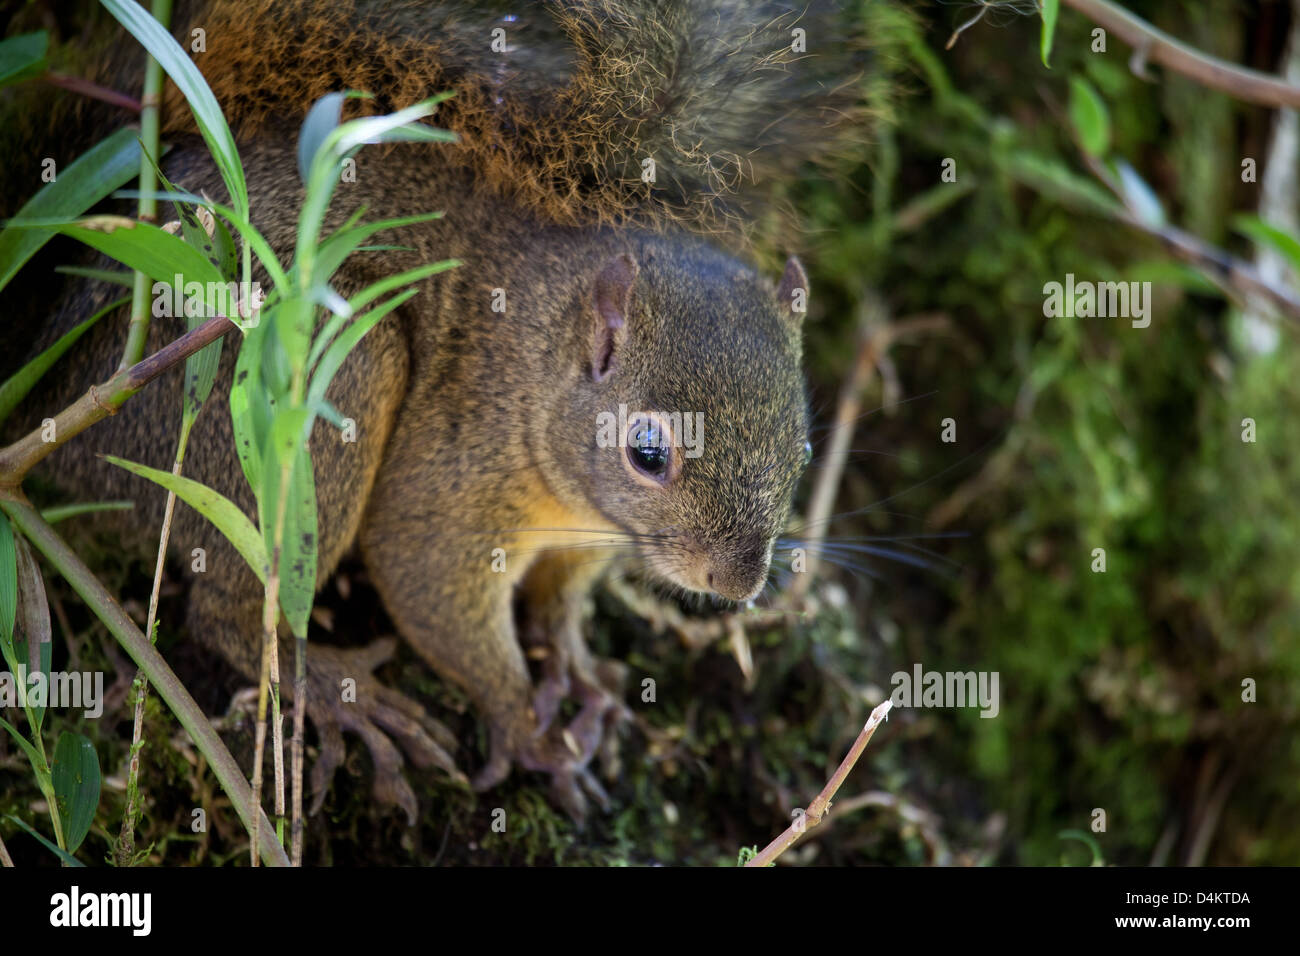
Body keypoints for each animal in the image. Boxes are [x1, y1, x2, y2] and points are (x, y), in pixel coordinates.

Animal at [5, 0, 868, 822]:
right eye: (648, 452)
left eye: (802, 452)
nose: (736, 584)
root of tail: (52, 399)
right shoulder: (453, 475)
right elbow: (426, 580)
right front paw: (528, 730)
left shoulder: (586, 542)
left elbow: (559, 605)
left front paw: (575, 665)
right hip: (322, 383)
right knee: (229, 614)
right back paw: (340, 697)